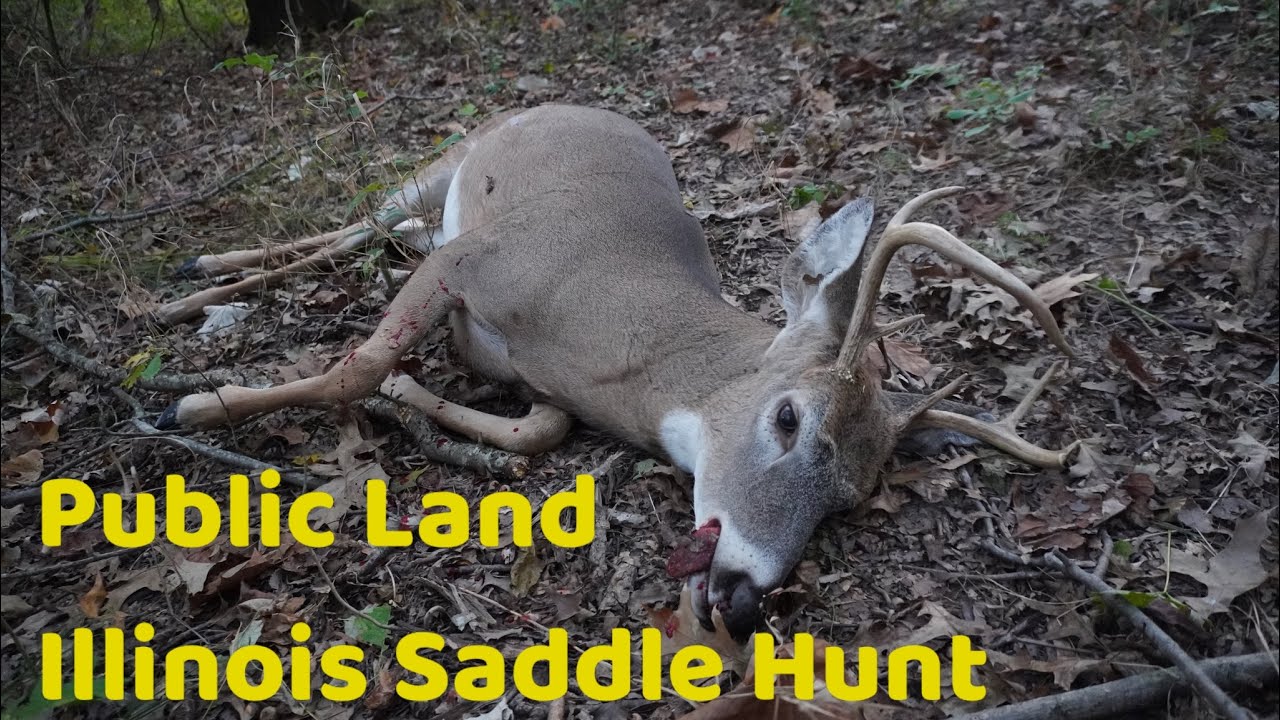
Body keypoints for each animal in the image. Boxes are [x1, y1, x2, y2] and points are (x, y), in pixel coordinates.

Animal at [155, 104, 1077, 640]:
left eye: (849, 499)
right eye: (786, 417)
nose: (745, 598)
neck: (598, 324)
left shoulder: (518, 362)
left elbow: (532, 429)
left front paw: (405, 393)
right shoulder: (475, 256)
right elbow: (356, 366)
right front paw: (197, 407)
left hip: (431, 213)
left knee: (361, 236)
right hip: (442, 168)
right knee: (352, 221)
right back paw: (189, 287)